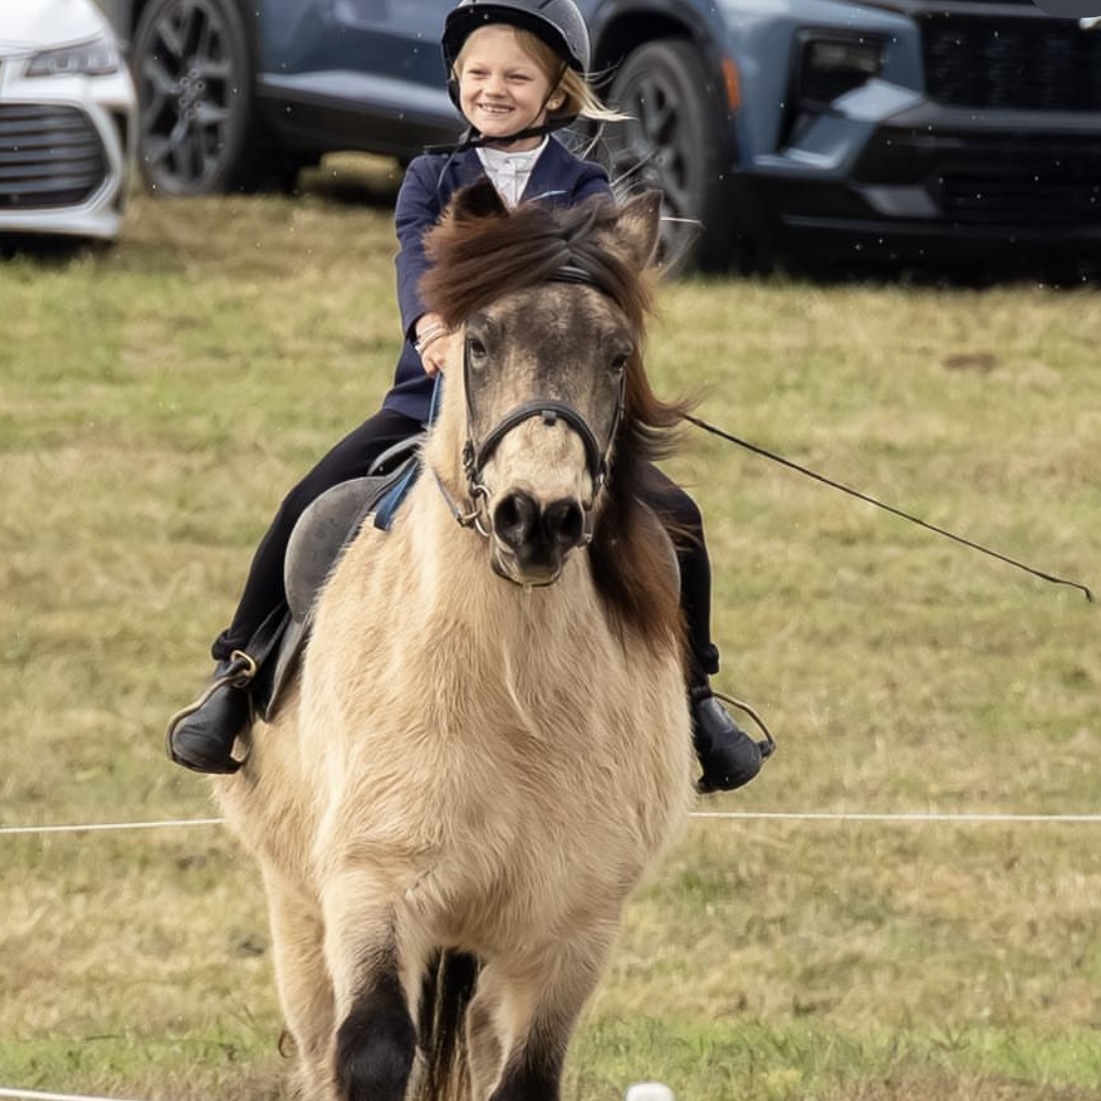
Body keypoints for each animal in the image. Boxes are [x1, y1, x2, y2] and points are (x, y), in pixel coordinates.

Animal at [214, 181, 696, 1101]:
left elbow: (527, 1077)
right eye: (478, 341)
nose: (535, 517)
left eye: (617, 355)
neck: (510, 693)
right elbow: (370, 1050)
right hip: (297, 908)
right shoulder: (373, 888)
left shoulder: (569, 929)